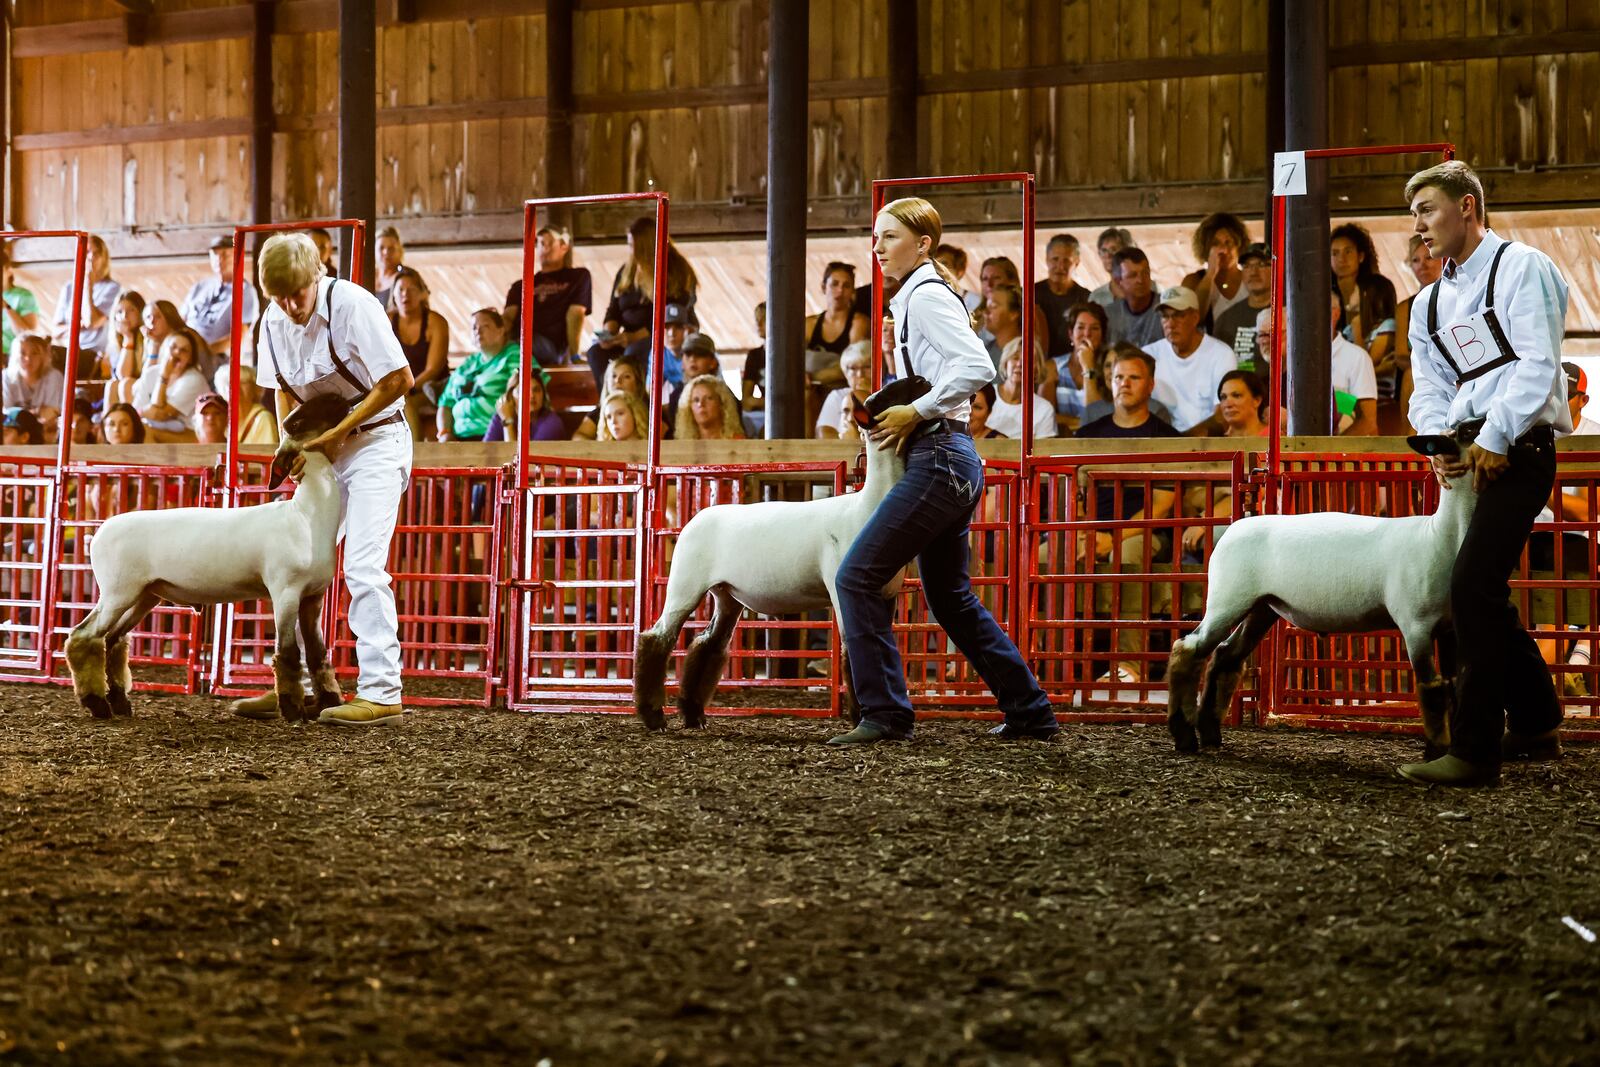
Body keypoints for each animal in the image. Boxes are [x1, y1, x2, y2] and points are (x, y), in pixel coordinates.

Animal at [66, 396, 353, 723]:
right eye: (295, 421)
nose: (338, 398)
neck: (306, 515)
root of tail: (98, 533)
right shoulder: (285, 592)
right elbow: (289, 654)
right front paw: (293, 712)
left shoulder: (313, 597)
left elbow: (318, 654)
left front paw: (329, 701)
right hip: (117, 591)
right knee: (84, 636)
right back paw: (97, 705)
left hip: (145, 594)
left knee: (113, 641)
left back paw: (120, 703)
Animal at [630, 377, 934, 735]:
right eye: (889, 395)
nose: (923, 380)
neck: (869, 505)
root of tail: (697, 518)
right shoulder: (842, 588)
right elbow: (853, 650)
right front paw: (860, 717)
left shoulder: (887, 593)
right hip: (684, 584)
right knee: (657, 639)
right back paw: (654, 717)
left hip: (726, 594)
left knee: (707, 644)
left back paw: (694, 715)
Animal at [1164, 431, 1472, 751]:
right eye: (1470, 432)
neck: (1438, 536)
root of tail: (1234, 528)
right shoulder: (1416, 625)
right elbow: (1432, 690)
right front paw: (1438, 749)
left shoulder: (1448, 627)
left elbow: (1452, 687)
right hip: (1227, 600)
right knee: (1188, 649)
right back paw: (1185, 737)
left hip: (1262, 607)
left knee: (1225, 656)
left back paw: (1210, 733)